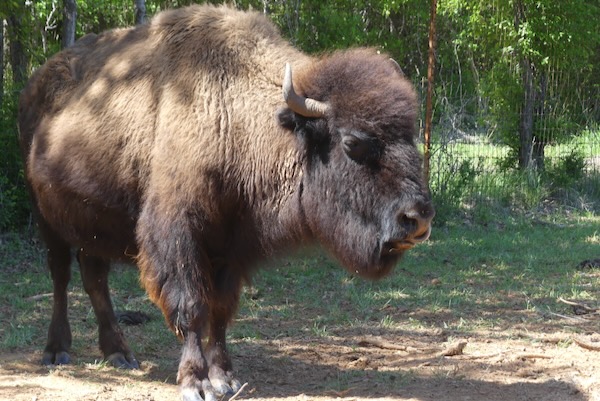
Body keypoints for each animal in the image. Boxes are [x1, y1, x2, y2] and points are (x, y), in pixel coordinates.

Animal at [17, 3, 432, 400]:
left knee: (94, 279)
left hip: (92, 224)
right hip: (47, 219)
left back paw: (119, 353)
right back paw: (56, 351)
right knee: (61, 275)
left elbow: (218, 312)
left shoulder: (232, 246)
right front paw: (196, 383)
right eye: (352, 142)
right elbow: (190, 307)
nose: (417, 219)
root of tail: (36, 85)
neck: (239, 118)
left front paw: (225, 379)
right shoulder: (178, 237)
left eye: (410, 136)